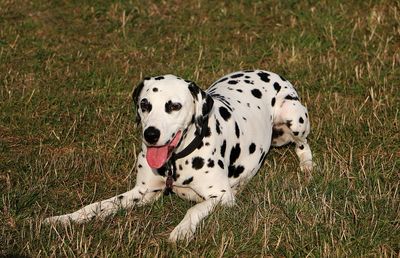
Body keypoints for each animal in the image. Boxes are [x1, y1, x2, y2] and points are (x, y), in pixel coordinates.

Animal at [43, 70, 312, 242]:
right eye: (144, 104)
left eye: (174, 106)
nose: (151, 134)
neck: (174, 161)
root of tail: (270, 72)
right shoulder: (141, 192)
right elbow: (97, 206)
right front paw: (64, 219)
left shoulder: (222, 197)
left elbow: (193, 210)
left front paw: (181, 231)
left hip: (294, 117)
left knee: (303, 144)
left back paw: (307, 166)